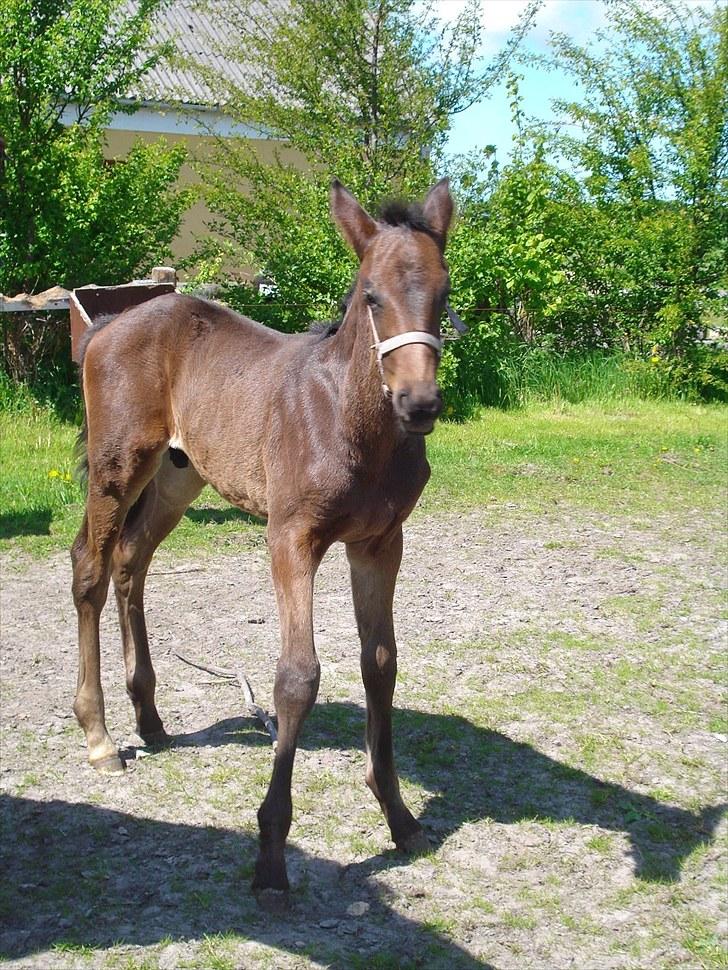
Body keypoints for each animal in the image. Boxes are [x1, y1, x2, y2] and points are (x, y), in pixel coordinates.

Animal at [71, 178, 452, 888]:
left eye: (443, 294)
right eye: (371, 295)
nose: (419, 404)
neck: (348, 419)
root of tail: (107, 327)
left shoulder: (381, 542)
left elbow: (380, 664)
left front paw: (398, 815)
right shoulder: (291, 540)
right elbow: (297, 677)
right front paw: (271, 854)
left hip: (179, 475)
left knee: (131, 560)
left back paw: (150, 718)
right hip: (118, 465)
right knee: (91, 566)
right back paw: (100, 737)